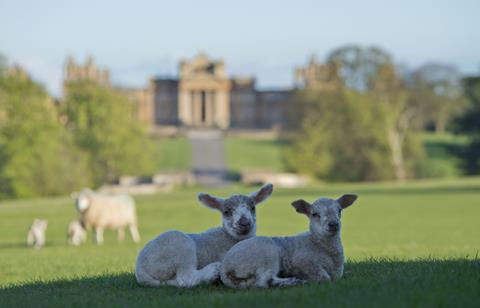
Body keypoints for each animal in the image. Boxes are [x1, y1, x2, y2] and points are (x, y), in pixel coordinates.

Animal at [135, 182, 274, 288]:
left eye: (253, 208)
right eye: (226, 211)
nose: (244, 222)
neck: (230, 238)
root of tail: (140, 271)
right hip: (178, 247)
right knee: (186, 278)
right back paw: (212, 271)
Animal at [219, 194, 358, 288]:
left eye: (339, 210)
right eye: (315, 214)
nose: (333, 224)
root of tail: (225, 270)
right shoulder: (304, 261)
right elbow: (325, 278)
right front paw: (309, 279)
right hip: (266, 253)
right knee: (264, 281)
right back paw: (294, 281)